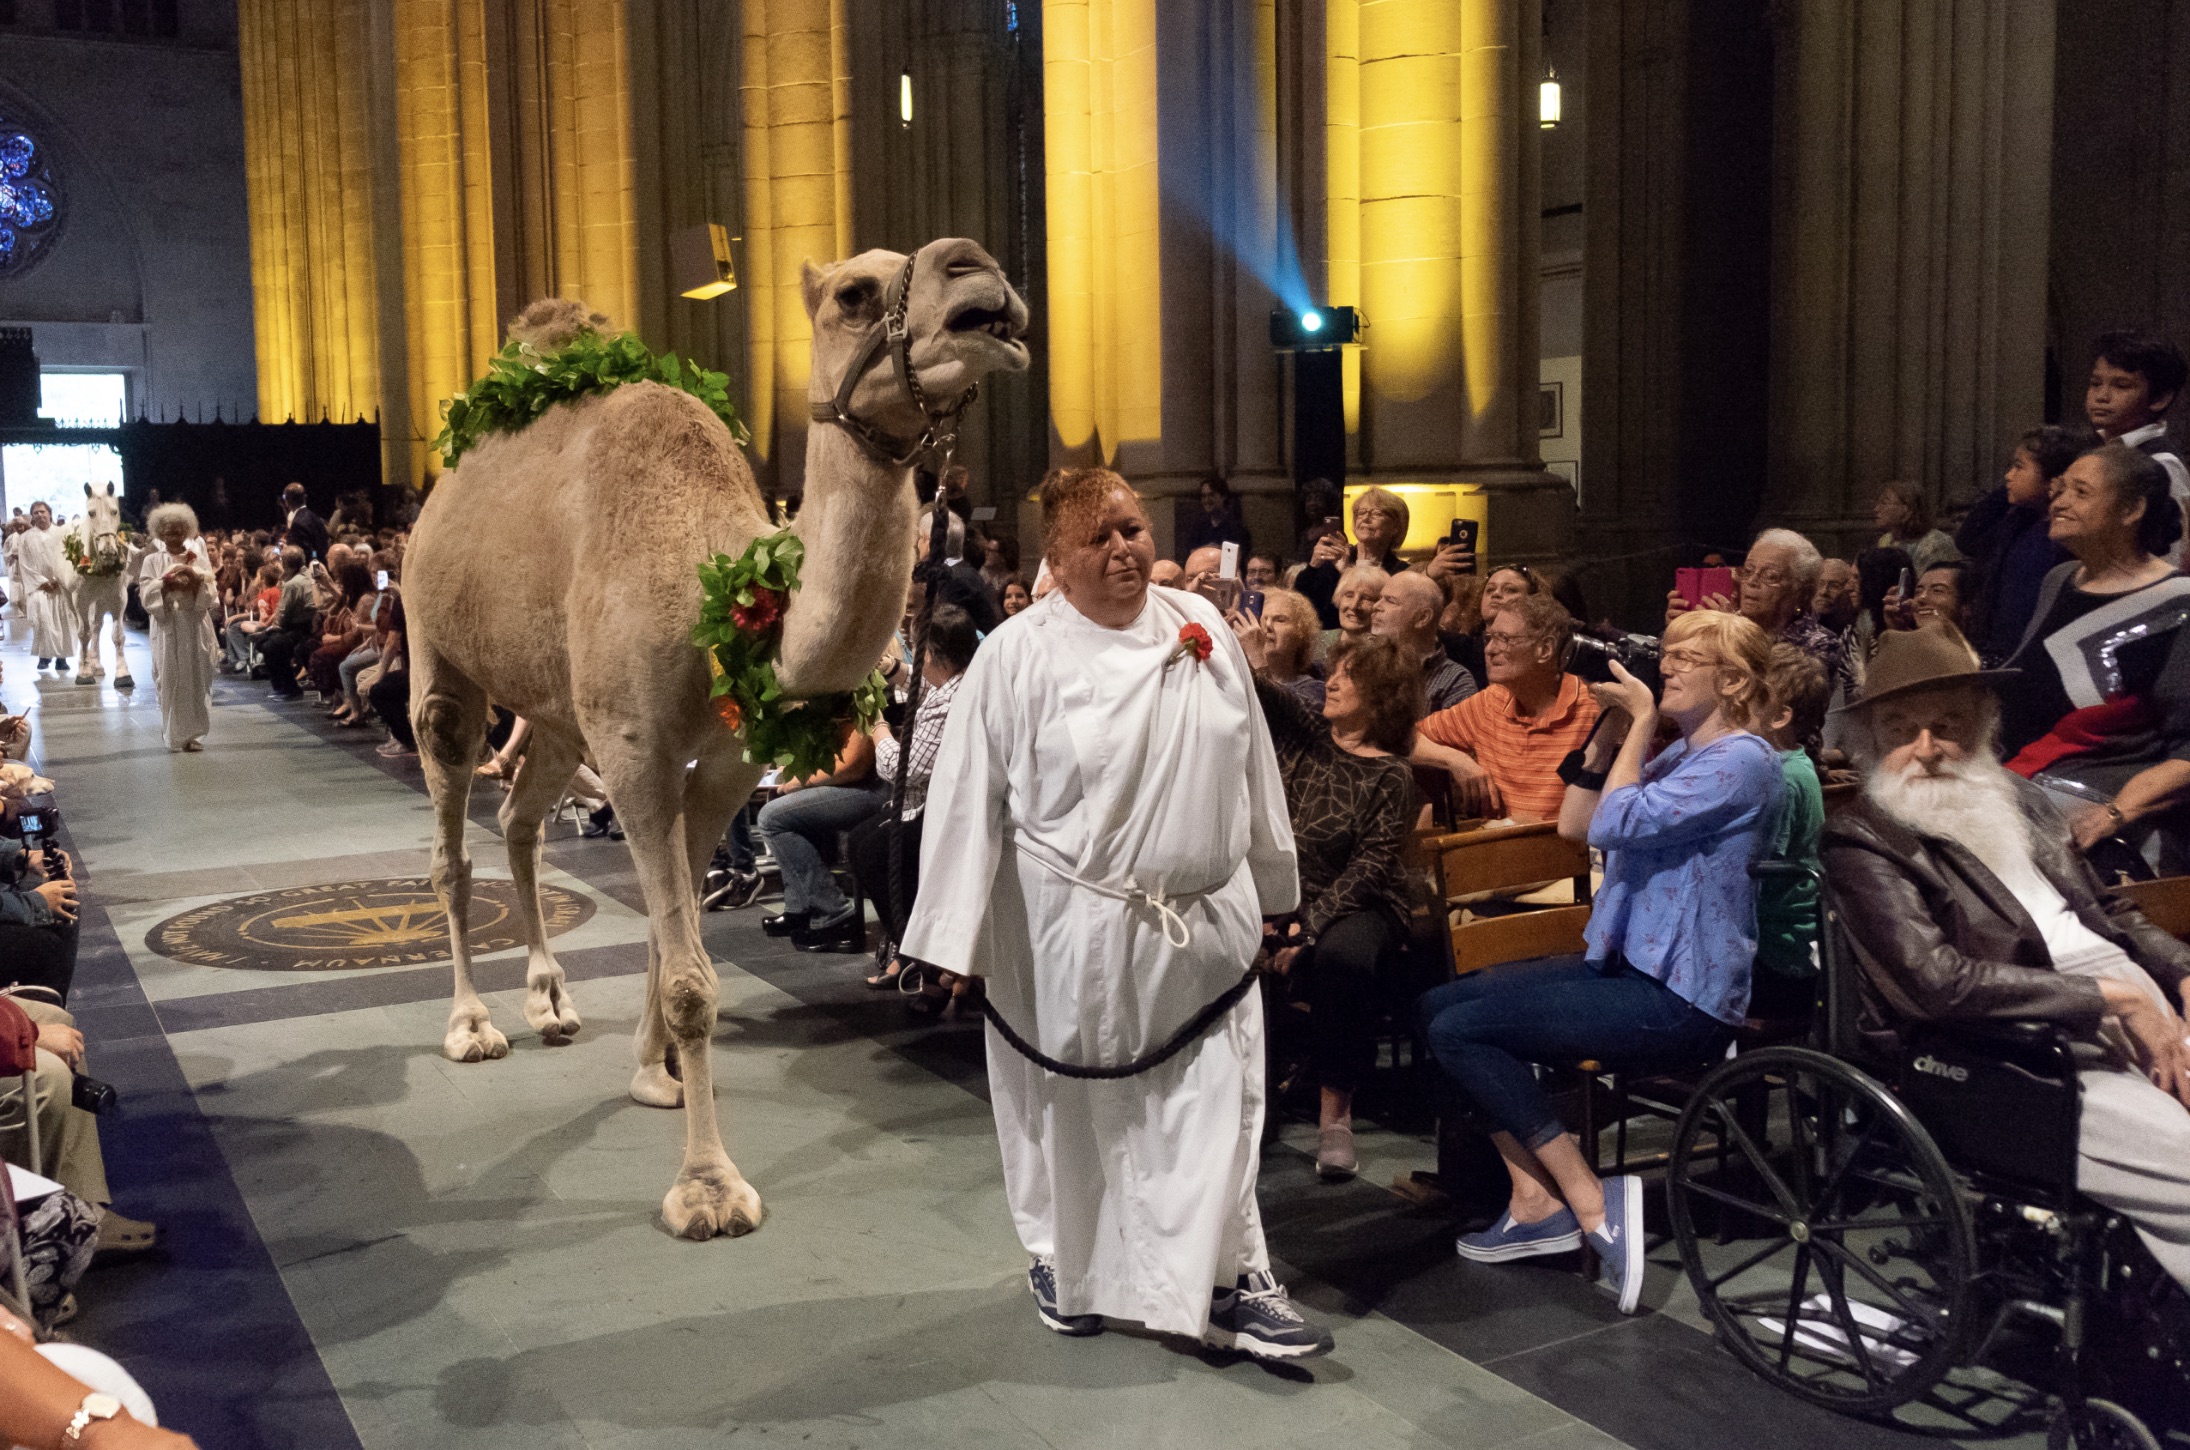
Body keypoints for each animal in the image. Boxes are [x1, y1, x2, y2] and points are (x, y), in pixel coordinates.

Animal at [68, 486, 133, 692]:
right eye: (91, 513)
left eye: (114, 511)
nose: (108, 552)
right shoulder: (79, 598)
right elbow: (83, 633)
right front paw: (84, 672)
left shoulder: (118, 598)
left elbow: (118, 636)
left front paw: (123, 674)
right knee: (85, 628)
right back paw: (87, 664)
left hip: (100, 600)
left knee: (96, 626)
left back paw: (95, 663)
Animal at [409, 235, 1033, 1235]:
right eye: (855, 294)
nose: (979, 274)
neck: (724, 592)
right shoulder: (635, 747)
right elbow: (691, 974)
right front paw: (706, 1187)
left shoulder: (727, 757)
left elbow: (680, 934)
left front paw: (652, 1075)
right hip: (440, 654)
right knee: (452, 840)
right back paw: (473, 1025)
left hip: (556, 711)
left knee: (518, 821)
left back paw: (550, 1003)